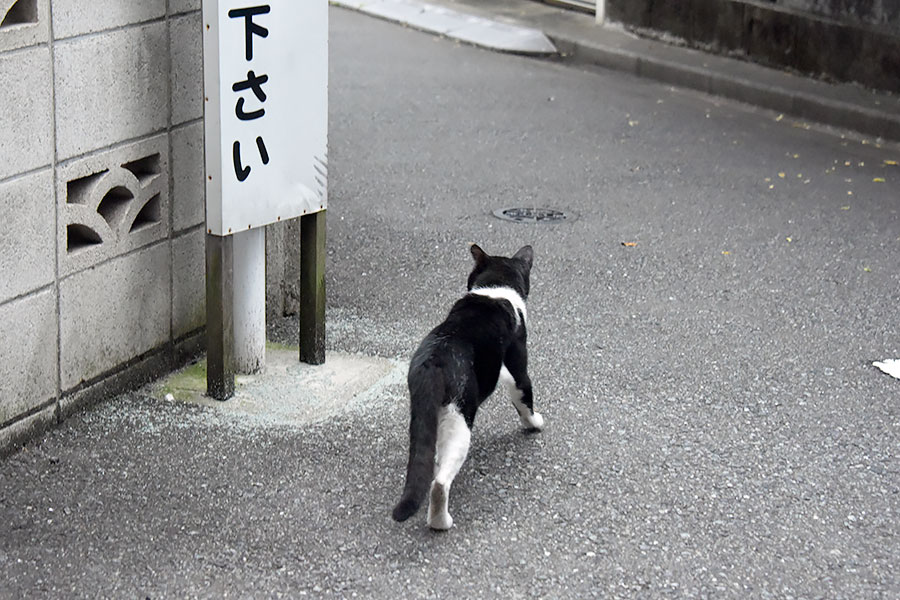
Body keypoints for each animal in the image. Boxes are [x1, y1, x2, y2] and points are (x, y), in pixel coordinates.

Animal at [392, 244, 540, 528]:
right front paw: (535, 423)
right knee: (440, 483)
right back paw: (441, 521)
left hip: (425, 415)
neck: (494, 289)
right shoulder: (518, 367)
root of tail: (433, 361)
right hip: (460, 418)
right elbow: (525, 397)